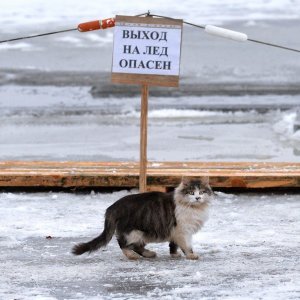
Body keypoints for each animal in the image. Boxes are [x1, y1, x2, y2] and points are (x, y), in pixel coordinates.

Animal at [72, 177, 213, 258]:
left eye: (202, 192)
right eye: (191, 192)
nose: (198, 198)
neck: (194, 208)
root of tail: (113, 206)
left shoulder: (174, 231)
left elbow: (173, 244)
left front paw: (174, 254)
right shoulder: (183, 230)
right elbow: (187, 245)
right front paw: (191, 255)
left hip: (141, 233)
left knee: (136, 246)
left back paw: (148, 253)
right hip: (133, 231)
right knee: (123, 244)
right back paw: (132, 256)